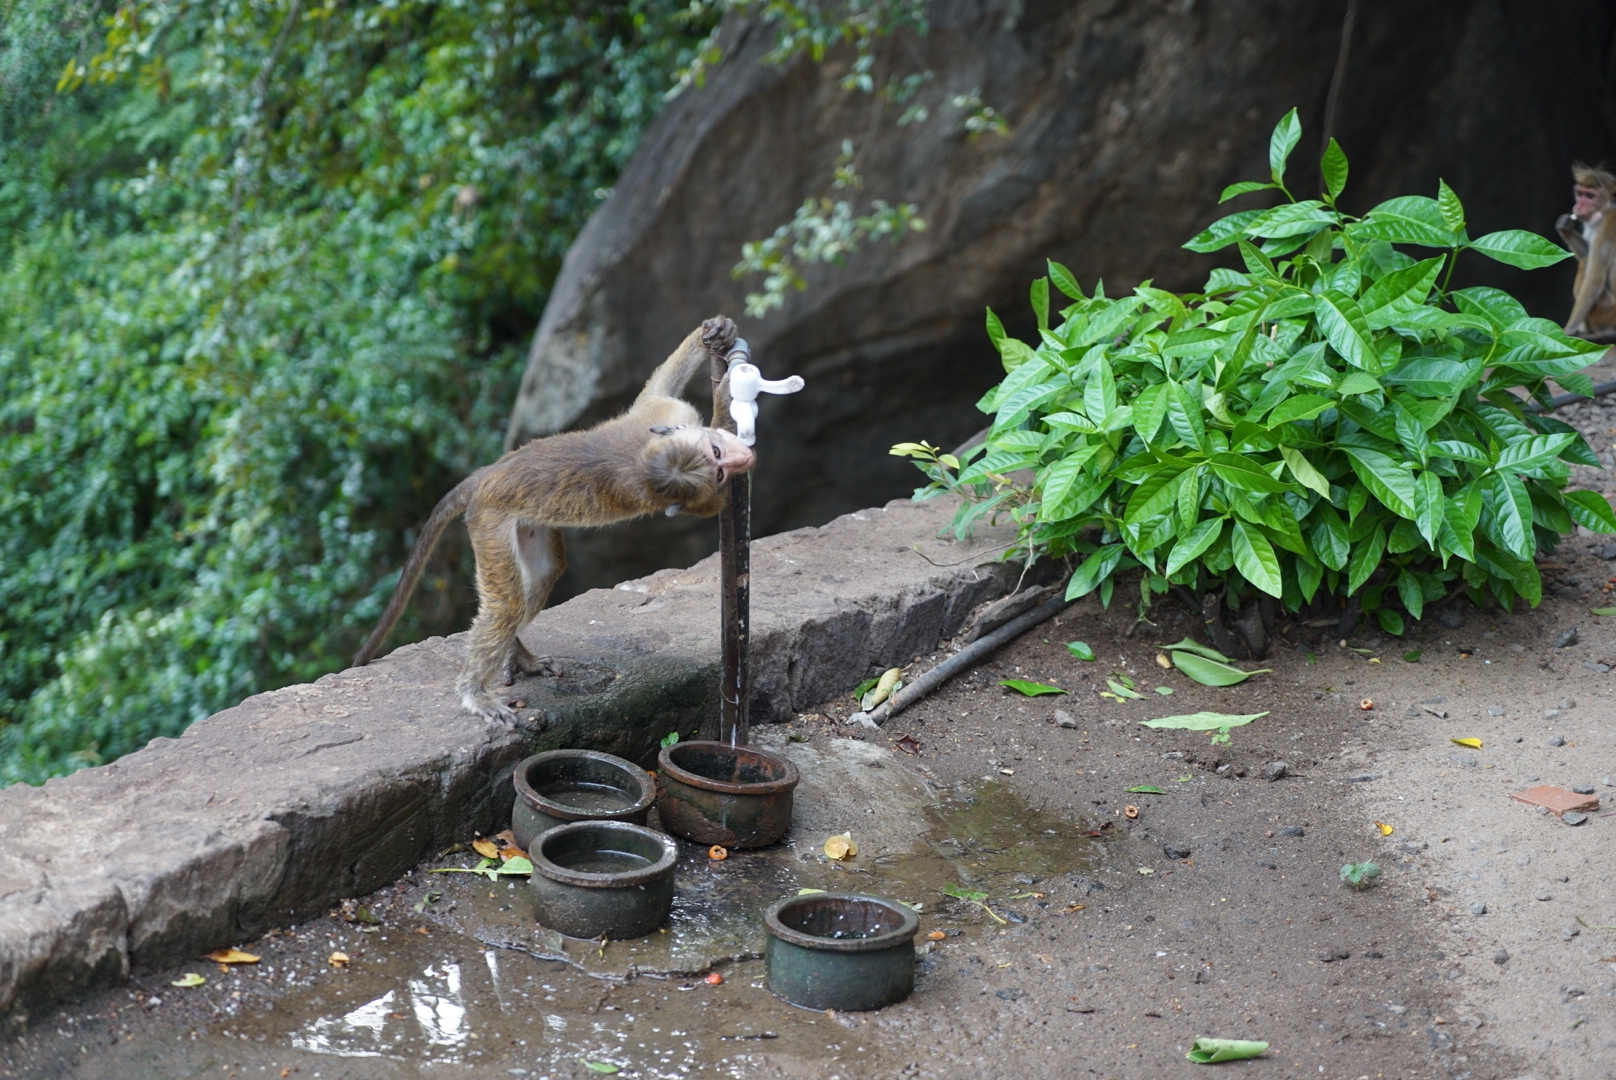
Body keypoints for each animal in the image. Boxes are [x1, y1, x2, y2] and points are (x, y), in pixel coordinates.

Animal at [350, 316, 753, 721]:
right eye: (717, 463)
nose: (741, 459)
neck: (644, 458)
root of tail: (485, 476)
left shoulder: (664, 419)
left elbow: (656, 389)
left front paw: (715, 333)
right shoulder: (689, 472)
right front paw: (726, 399)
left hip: (525, 520)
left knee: (544, 573)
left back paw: (516, 656)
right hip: (488, 519)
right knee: (507, 604)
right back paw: (474, 691)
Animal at [1551, 161, 1616, 341]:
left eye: (1591, 196)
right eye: (1580, 194)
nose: (1579, 206)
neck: (1602, 212)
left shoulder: (1608, 225)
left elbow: (1595, 278)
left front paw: (1568, 330)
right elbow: (1586, 252)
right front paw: (1564, 227)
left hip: (1607, 312)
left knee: (1586, 265)